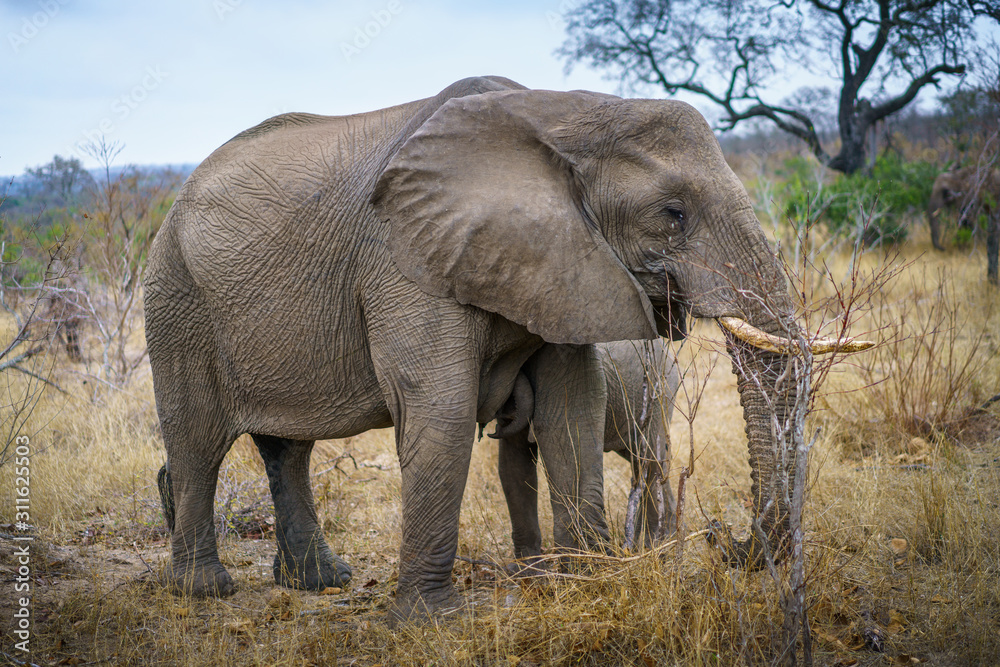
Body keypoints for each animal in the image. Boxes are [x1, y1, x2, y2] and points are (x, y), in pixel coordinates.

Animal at [491, 339, 680, 568]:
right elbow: (512, 467)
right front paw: (525, 571)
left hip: (659, 394)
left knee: (649, 461)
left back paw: (650, 548)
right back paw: (664, 541)